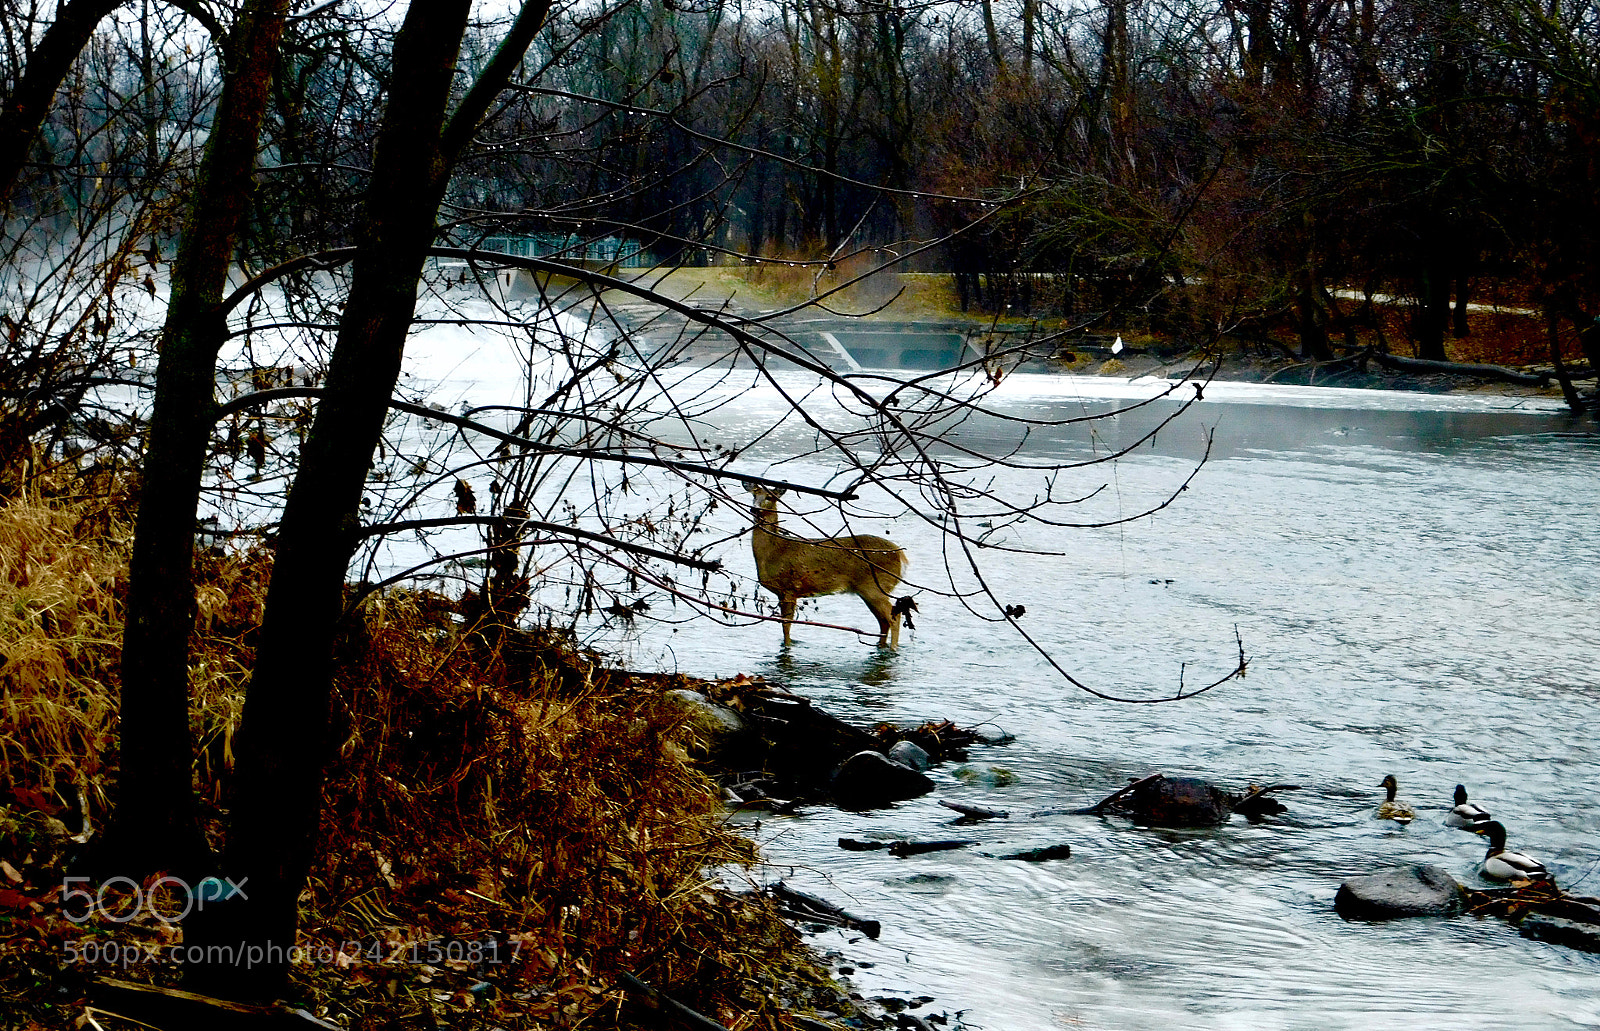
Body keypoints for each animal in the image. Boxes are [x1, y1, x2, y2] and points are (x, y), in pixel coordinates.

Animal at [748, 485, 911, 648]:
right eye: (753, 495)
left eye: (770, 497)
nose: (754, 508)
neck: (774, 551)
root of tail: (902, 556)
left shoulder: (789, 588)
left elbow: (786, 626)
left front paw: (788, 645)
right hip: (869, 590)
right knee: (884, 621)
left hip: (877, 586)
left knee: (894, 617)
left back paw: (893, 648)